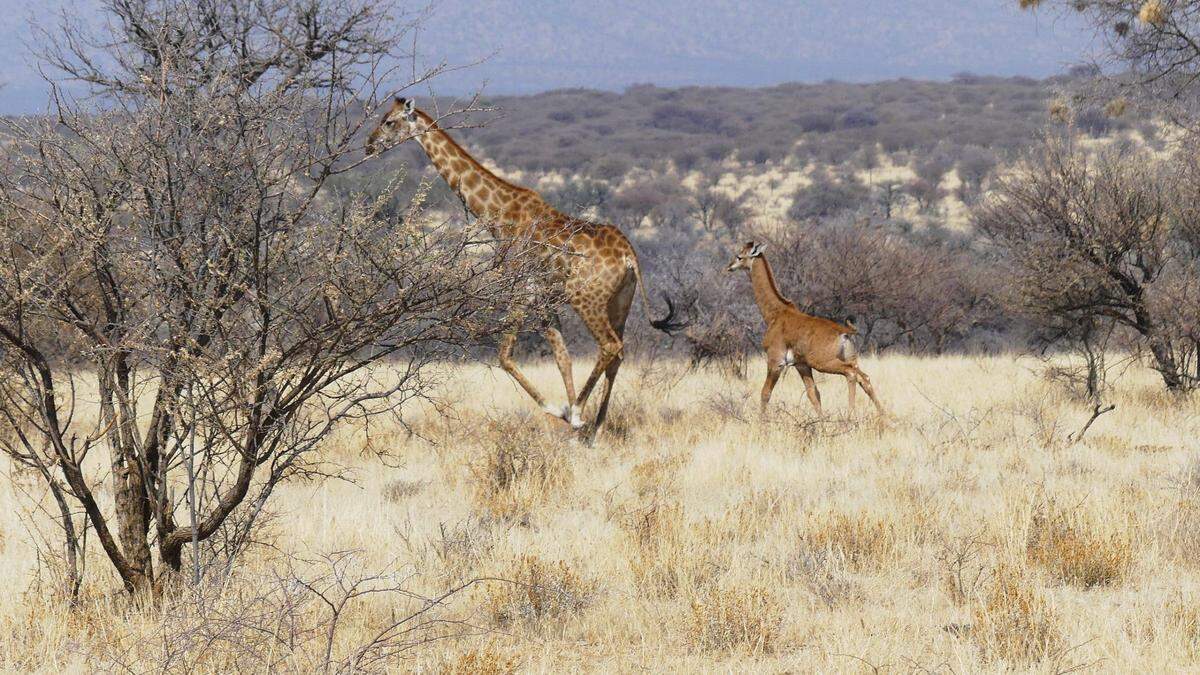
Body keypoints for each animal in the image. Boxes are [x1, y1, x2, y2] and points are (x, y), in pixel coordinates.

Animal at [366, 97, 683, 433]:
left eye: (389, 122)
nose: (369, 145)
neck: (499, 214)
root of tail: (628, 255)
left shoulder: (520, 290)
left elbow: (504, 355)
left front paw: (563, 410)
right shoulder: (544, 298)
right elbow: (562, 357)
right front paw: (568, 419)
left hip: (585, 298)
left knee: (610, 346)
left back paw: (581, 413)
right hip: (620, 301)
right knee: (619, 352)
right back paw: (595, 428)